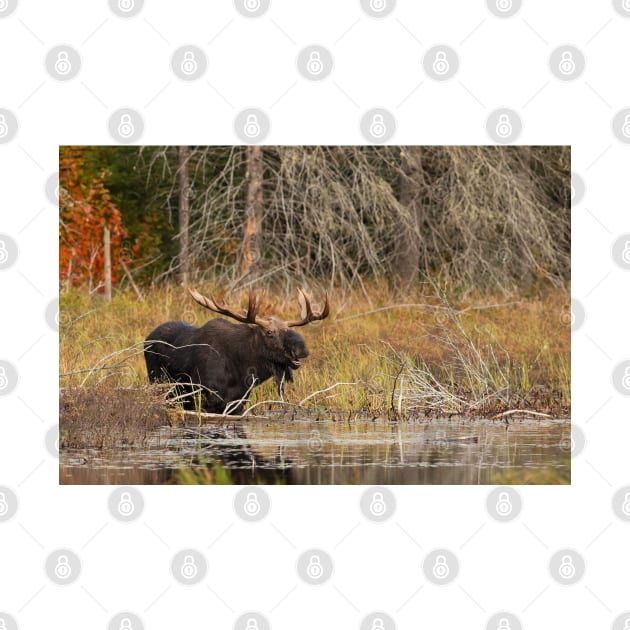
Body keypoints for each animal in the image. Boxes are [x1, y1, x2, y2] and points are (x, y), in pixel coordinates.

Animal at [144, 288, 330, 418]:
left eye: (287, 329)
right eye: (269, 332)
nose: (302, 349)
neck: (242, 370)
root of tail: (147, 338)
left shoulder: (238, 405)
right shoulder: (205, 400)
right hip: (159, 383)